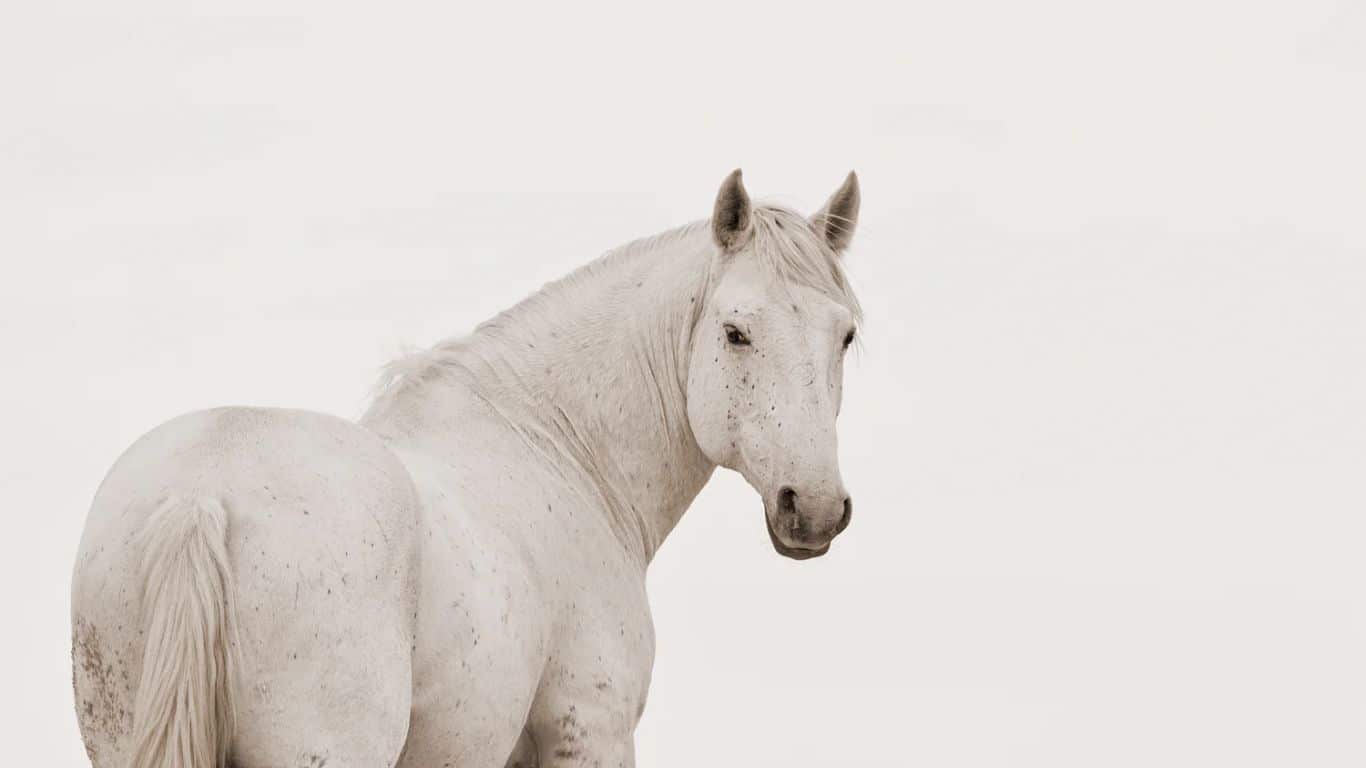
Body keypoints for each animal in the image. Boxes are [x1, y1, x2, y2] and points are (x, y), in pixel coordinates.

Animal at [70, 169, 864, 768]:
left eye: (847, 336)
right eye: (736, 332)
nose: (813, 507)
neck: (555, 447)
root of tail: (200, 498)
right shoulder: (590, 729)